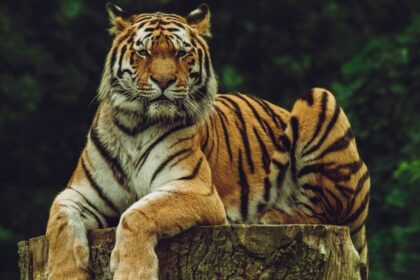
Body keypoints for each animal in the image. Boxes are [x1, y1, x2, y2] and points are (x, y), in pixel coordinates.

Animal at [44, 2, 370, 280]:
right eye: (144, 53)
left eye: (180, 54)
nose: (164, 81)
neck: (135, 126)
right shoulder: (79, 194)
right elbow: (59, 224)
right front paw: (65, 274)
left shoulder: (196, 188)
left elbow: (136, 213)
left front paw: (133, 272)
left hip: (319, 98)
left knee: (324, 212)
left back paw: (271, 217)